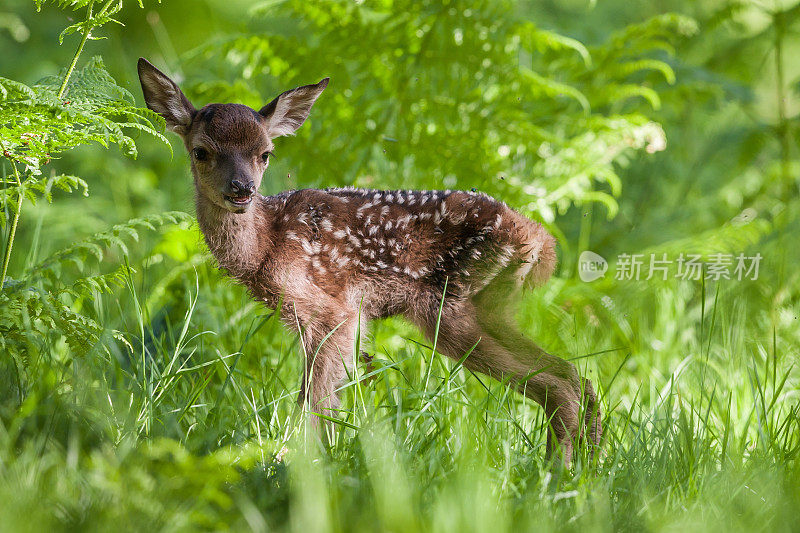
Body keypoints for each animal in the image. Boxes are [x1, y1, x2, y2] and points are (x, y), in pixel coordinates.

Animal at [139, 56, 600, 460]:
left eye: (265, 153)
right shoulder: (337, 319)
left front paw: (296, 465)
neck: (266, 246)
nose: (242, 189)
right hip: (486, 306)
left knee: (559, 383)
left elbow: (314, 404)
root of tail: (542, 242)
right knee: (574, 377)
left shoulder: (334, 310)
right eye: (201, 151)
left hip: (454, 307)